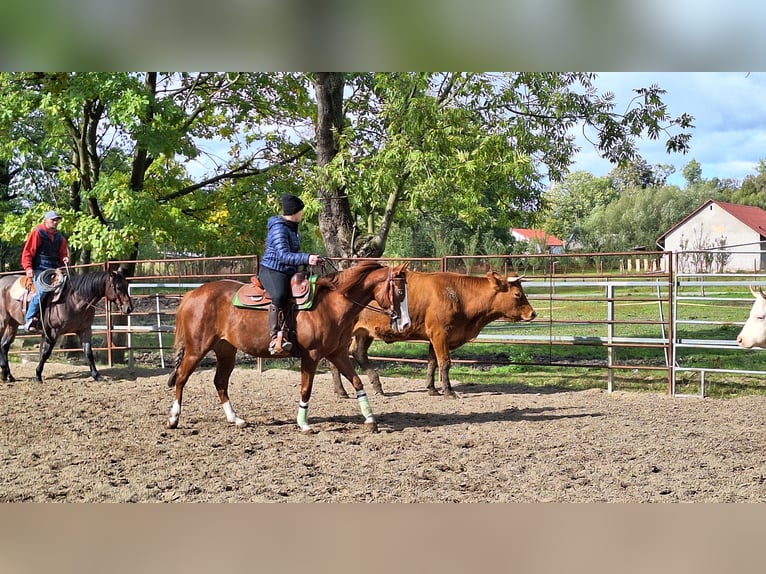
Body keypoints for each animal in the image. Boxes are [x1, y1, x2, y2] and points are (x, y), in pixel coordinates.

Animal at [0, 267, 134, 383]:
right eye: (118, 287)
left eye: (127, 285)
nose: (129, 308)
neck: (74, 301)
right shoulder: (53, 332)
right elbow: (46, 353)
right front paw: (38, 375)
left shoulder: (85, 330)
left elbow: (88, 353)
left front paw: (97, 376)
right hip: (3, 321)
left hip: (13, 323)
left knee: (4, 346)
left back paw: (8, 376)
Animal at [166, 261, 410, 433]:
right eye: (400, 293)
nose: (405, 324)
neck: (332, 305)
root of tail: (192, 294)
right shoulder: (311, 355)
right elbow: (306, 388)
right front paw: (303, 424)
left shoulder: (337, 354)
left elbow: (358, 382)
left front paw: (370, 420)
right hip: (197, 349)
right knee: (181, 378)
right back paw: (173, 419)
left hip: (226, 350)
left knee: (220, 382)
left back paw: (236, 419)